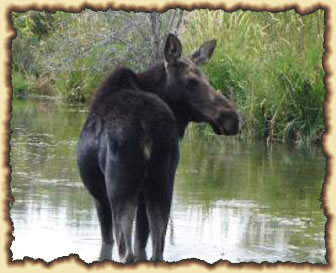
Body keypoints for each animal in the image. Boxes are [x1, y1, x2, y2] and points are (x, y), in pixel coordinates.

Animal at [77, 33, 239, 262]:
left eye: (206, 80)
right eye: (192, 81)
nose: (232, 118)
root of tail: (147, 127)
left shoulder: (99, 197)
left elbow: (108, 244)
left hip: (120, 189)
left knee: (126, 251)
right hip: (162, 184)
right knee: (157, 251)